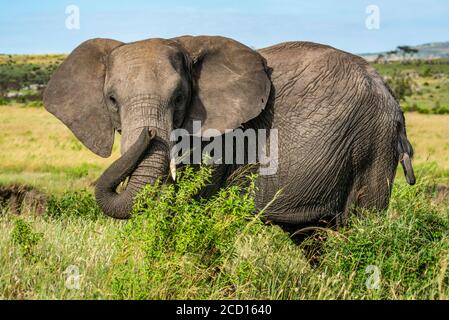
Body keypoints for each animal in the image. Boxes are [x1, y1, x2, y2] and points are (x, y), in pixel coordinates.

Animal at [43, 35, 414, 228]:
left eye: (179, 98)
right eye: (112, 100)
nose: (148, 135)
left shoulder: (226, 137)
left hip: (373, 142)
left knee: (364, 223)